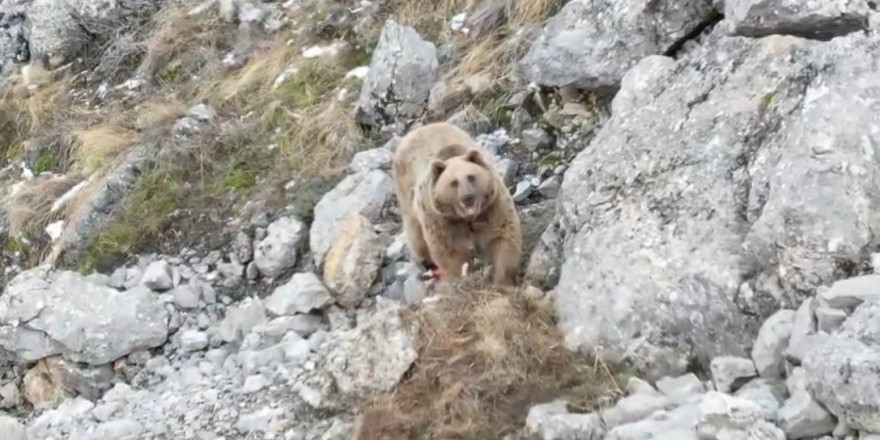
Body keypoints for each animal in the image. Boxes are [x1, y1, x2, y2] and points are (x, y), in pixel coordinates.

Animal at [392, 121, 524, 286]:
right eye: (454, 183)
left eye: (471, 176)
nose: (468, 197)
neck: (468, 218)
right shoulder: (442, 219)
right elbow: (450, 251)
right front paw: (464, 278)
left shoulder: (492, 207)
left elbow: (503, 236)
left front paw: (503, 280)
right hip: (407, 195)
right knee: (415, 234)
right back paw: (427, 262)